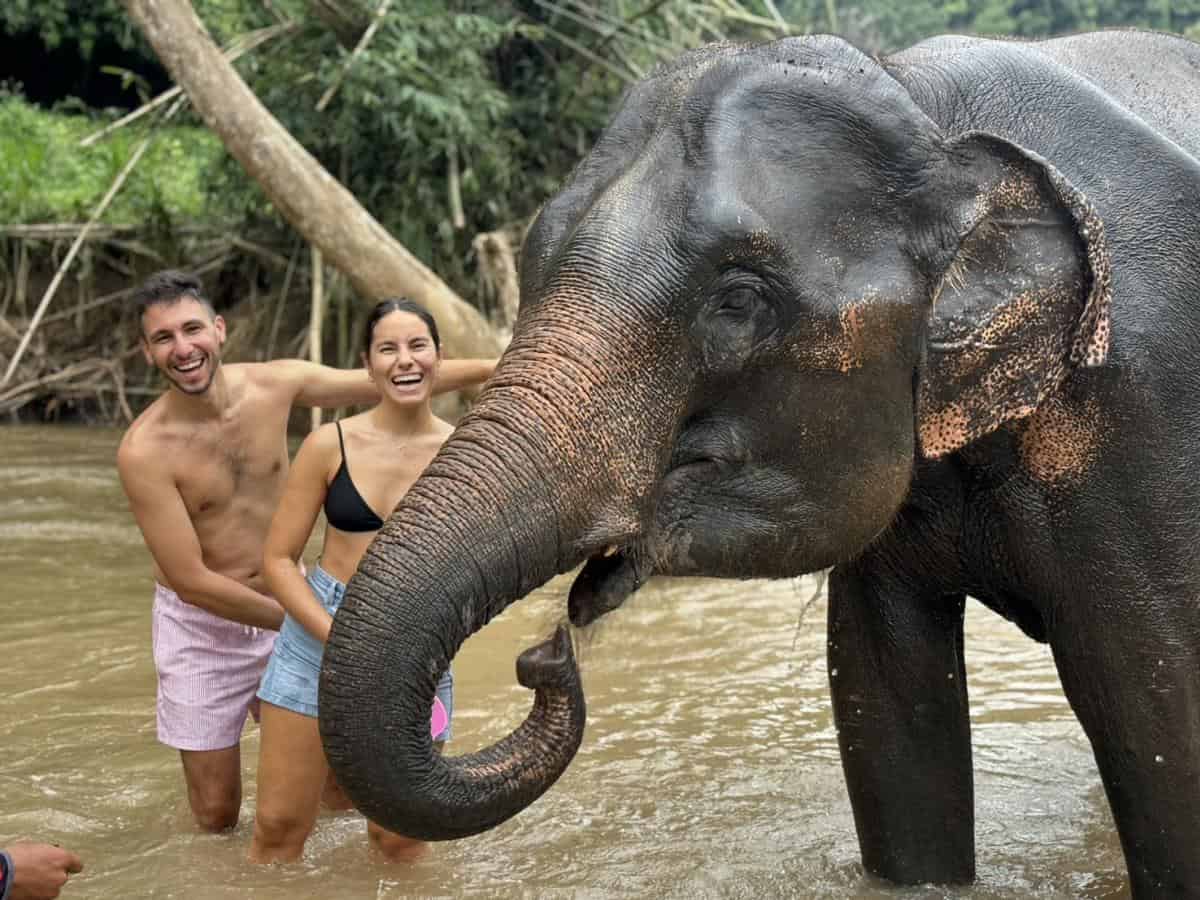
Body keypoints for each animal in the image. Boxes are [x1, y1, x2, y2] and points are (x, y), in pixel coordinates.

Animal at [318, 29, 1200, 897]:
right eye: (532, 267)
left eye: (737, 300)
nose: (543, 656)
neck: (927, 108)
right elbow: (885, 703)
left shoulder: (1141, 415)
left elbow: (1156, 710)